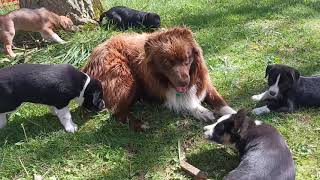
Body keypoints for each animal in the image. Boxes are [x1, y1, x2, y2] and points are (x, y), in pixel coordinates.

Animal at [84, 27, 236, 129]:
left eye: (187, 59)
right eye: (167, 62)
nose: (184, 82)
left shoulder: (203, 81)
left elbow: (218, 99)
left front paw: (231, 113)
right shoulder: (160, 91)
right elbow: (184, 102)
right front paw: (201, 111)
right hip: (125, 79)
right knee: (117, 111)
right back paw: (140, 124)